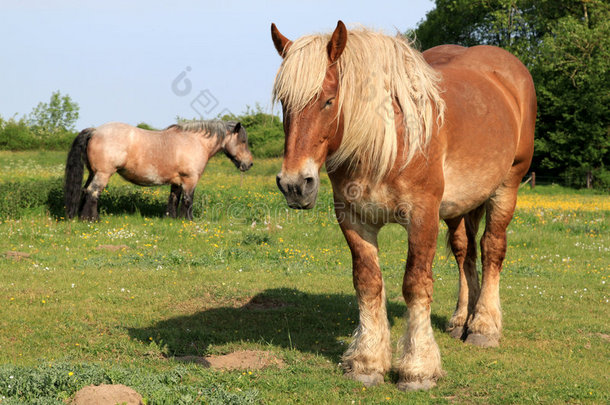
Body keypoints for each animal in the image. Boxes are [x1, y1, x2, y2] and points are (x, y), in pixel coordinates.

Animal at [66, 120, 254, 221]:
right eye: (243, 141)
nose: (249, 164)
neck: (194, 141)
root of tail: (95, 130)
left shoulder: (177, 181)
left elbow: (173, 199)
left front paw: (171, 218)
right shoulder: (190, 179)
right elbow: (188, 200)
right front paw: (189, 220)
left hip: (93, 172)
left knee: (85, 191)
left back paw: (81, 217)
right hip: (103, 174)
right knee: (93, 192)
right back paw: (92, 219)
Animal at [270, 21, 532, 388]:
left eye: (329, 100)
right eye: (284, 102)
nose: (295, 185)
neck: (387, 141)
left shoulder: (423, 217)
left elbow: (416, 285)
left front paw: (417, 368)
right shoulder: (354, 219)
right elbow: (367, 283)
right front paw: (367, 362)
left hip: (507, 186)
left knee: (492, 248)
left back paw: (483, 326)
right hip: (458, 207)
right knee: (465, 252)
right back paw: (460, 320)